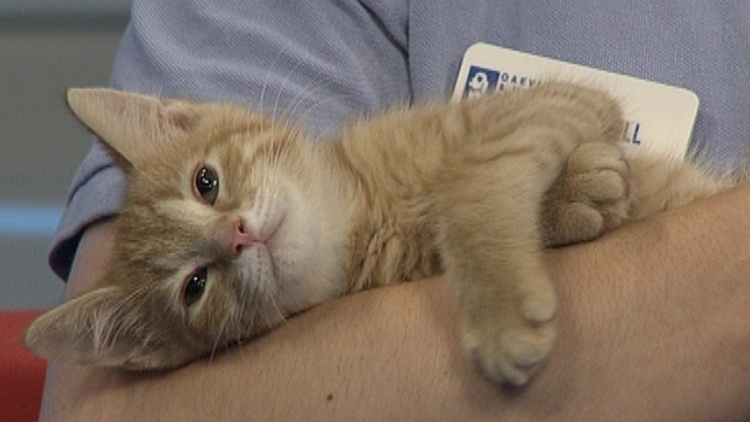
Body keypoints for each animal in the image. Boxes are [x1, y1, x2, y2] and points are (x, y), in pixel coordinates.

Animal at [25, 82, 740, 386]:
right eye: (195, 287)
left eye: (206, 182)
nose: (237, 235)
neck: (364, 212)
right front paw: (577, 197)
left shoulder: (564, 97)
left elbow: (469, 179)